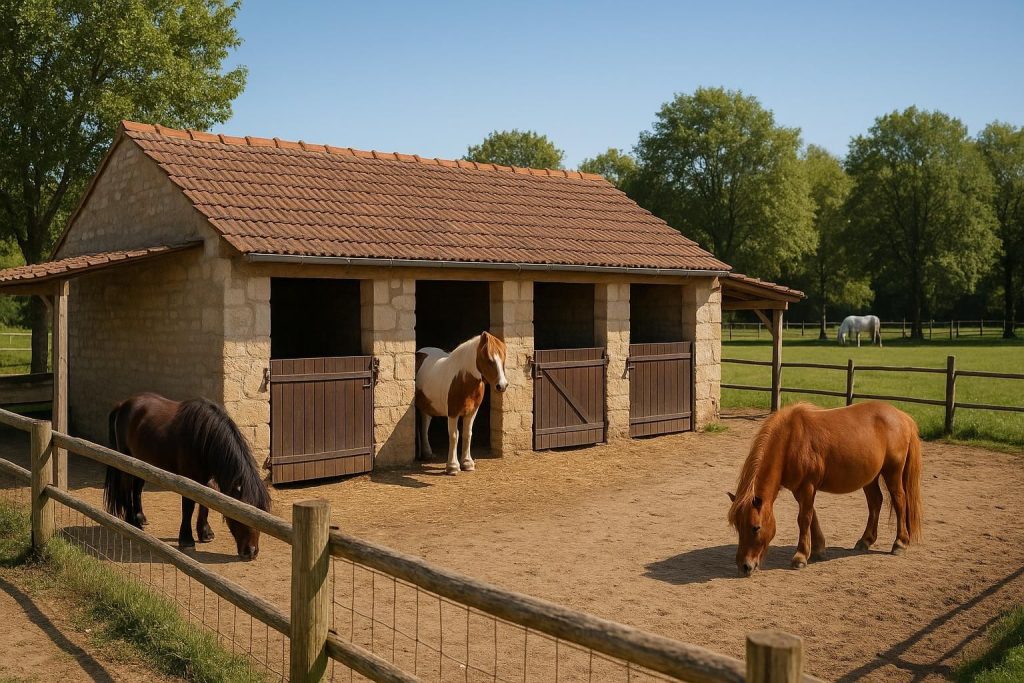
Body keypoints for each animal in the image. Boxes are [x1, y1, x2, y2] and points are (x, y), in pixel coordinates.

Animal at [104, 393, 272, 560]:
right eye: (242, 515)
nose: (251, 552)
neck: (204, 438)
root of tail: (123, 405)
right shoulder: (188, 479)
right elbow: (188, 506)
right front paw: (186, 540)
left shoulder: (206, 479)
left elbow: (205, 503)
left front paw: (205, 533)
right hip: (126, 460)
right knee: (127, 488)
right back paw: (132, 522)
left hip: (142, 463)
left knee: (137, 489)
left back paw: (140, 517)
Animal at [415, 331, 508, 475]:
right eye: (489, 359)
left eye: (503, 359)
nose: (502, 386)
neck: (462, 379)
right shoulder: (453, 413)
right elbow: (454, 435)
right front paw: (452, 466)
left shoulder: (472, 412)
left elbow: (467, 434)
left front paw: (467, 463)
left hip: (428, 406)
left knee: (425, 424)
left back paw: (427, 453)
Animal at [727, 401, 922, 576]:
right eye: (737, 526)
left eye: (756, 528)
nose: (744, 566)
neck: (791, 439)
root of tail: (903, 417)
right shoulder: (800, 489)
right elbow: (812, 516)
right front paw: (818, 549)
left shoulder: (807, 486)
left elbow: (804, 518)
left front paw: (800, 557)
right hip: (871, 478)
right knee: (875, 502)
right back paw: (865, 540)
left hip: (892, 472)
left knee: (899, 501)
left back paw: (900, 543)